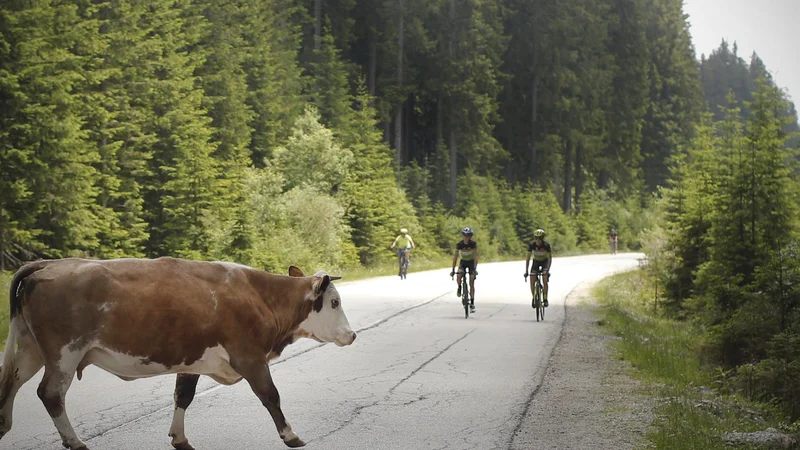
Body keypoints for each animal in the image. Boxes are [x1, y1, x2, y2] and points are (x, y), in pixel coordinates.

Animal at [0, 258, 356, 448]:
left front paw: (179, 437)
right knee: (50, 394)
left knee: (11, 385)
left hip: (30, 350)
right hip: (64, 353)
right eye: (334, 302)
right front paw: (291, 435)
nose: (352, 335)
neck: (260, 296)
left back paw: (4, 426)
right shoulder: (250, 357)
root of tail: (49, 263)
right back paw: (75, 441)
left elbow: (183, 396)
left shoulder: (193, 359)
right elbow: (271, 396)